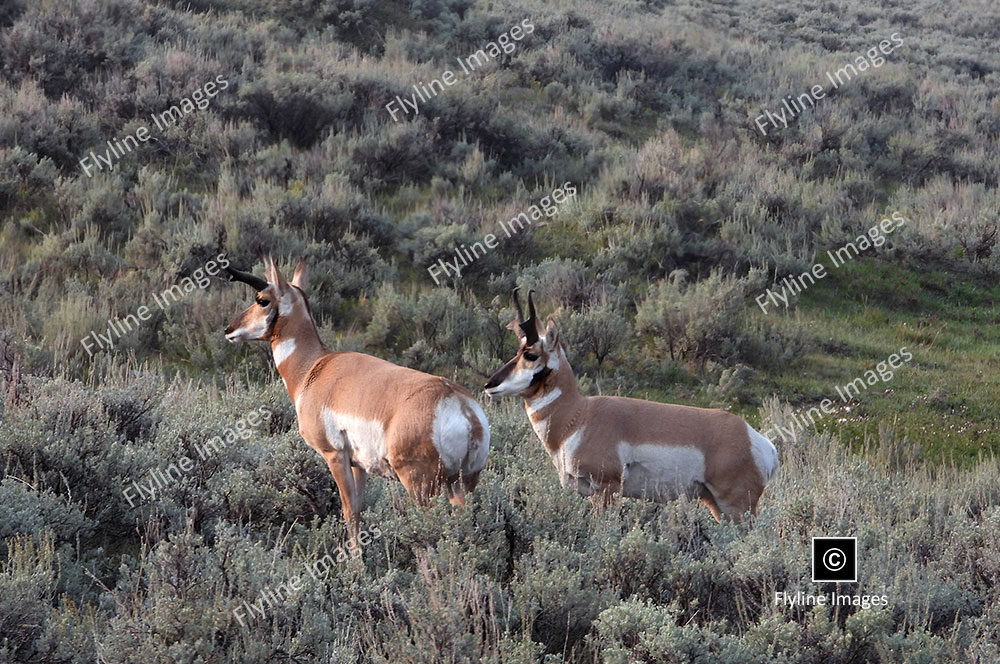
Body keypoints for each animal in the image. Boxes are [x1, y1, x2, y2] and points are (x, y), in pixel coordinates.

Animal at [226, 256, 492, 544]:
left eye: (262, 299)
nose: (229, 329)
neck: (315, 365)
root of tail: (460, 404)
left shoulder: (335, 456)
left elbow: (349, 511)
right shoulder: (359, 465)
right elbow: (359, 507)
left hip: (420, 484)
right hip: (463, 483)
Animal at [484, 290, 780, 524]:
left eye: (531, 354)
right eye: (517, 351)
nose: (489, 384)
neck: (579, 415)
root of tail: (758, 440)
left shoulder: (607, 489)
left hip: (737, 506)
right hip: (715, 504)